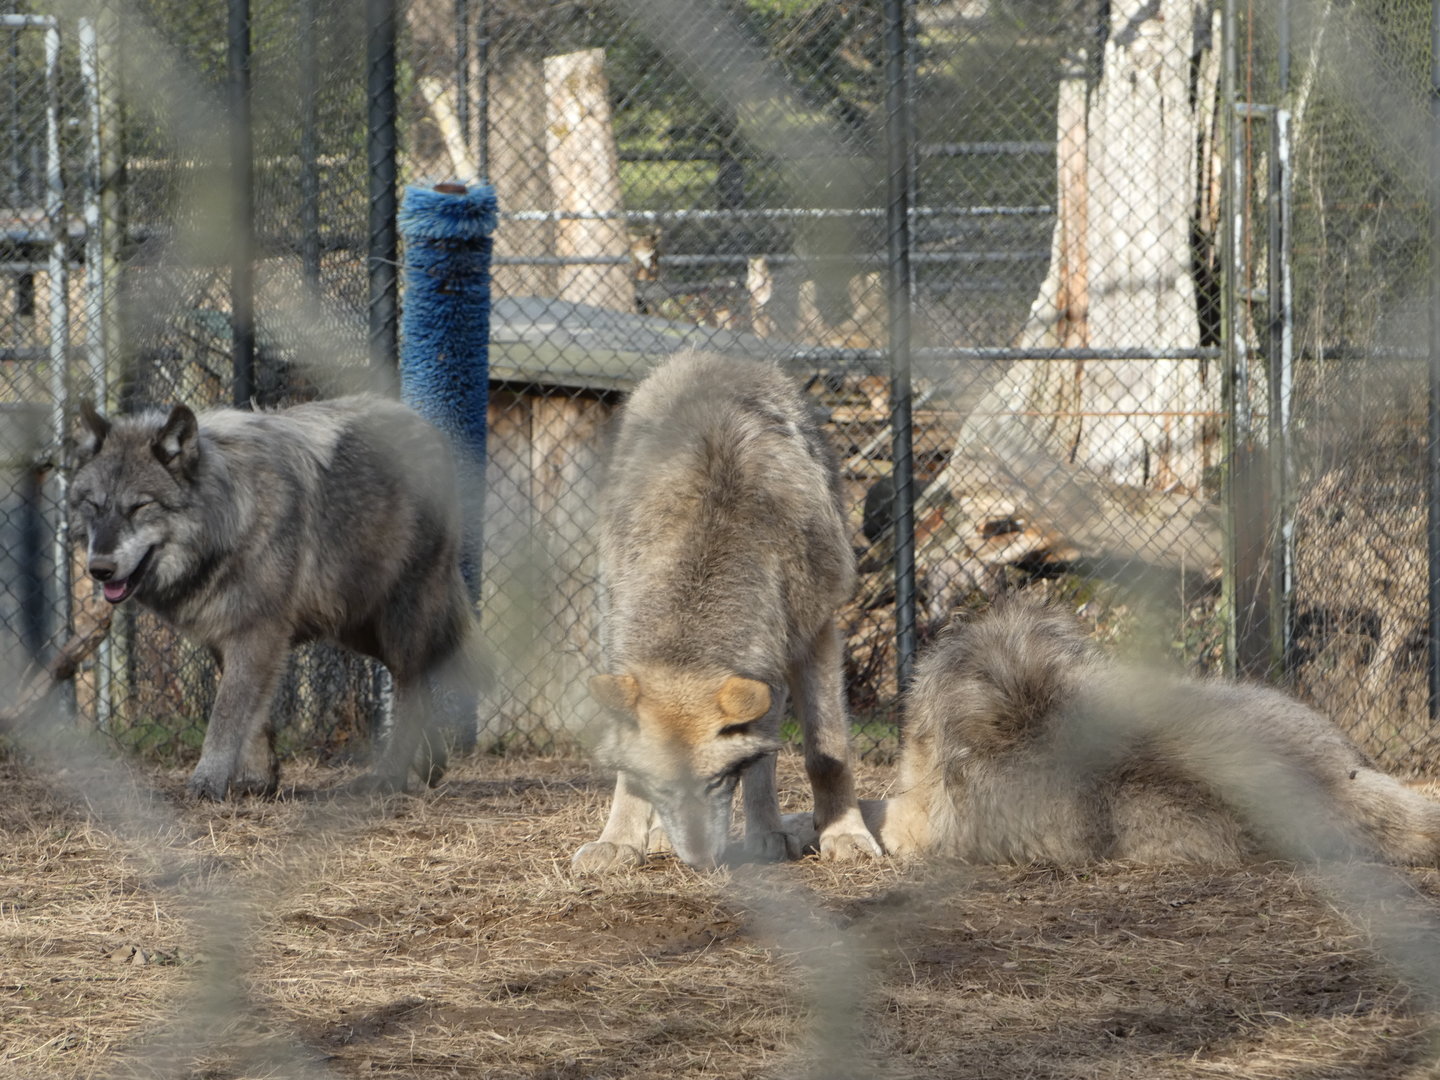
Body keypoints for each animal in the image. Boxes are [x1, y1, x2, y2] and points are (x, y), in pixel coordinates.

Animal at [69, 394, 476, 801]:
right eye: (94, 505)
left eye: (140, 506)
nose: (99, 569)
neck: (232, 518)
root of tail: (430, 430)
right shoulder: (229, 637)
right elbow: (254, 717)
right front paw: (257, 778)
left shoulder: (256, 632)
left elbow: (226, 715)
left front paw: (208, 781)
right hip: (356, 628)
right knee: (421, 678)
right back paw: (431, 764)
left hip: (398, 620)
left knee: (411, 686)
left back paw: (389, 776)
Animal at [574, 350, 882, 871]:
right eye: (661, 788)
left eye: (715, 782)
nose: (699, 860)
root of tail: (711, 355)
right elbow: (626, 769)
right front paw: (620, 840)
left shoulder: (816, 635)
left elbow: (825, 752)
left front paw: (845, 834)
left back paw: (768, 834)